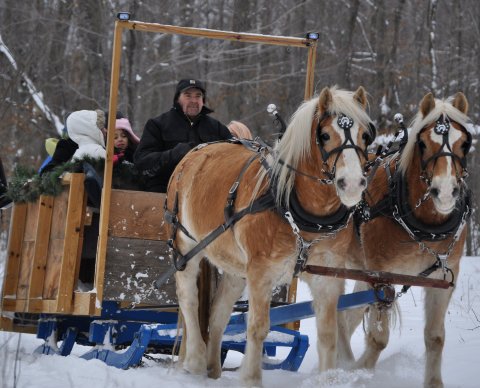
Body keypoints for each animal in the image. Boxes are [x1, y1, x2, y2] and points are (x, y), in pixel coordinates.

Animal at [165, 85, 376, 384]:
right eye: (324, 135)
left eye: (365, 136)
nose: (353, 184)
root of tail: (196, 151)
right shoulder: (261, 272)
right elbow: (257, 327)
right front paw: (251, 379)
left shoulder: (327, 277)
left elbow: (328, 335)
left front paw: (327, 379)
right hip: (185, 246)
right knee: (188, 299)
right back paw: (195, 360)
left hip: (235, 267)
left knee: (219, 312)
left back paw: (213, 369)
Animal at [342, 91, 472, 388]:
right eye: (422, 144)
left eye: (464, 143)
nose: (445, 192)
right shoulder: (381, 275)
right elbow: (378, 339)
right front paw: (362, 373)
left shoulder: (443, 278)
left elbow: (435, 338)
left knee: (345, 315)